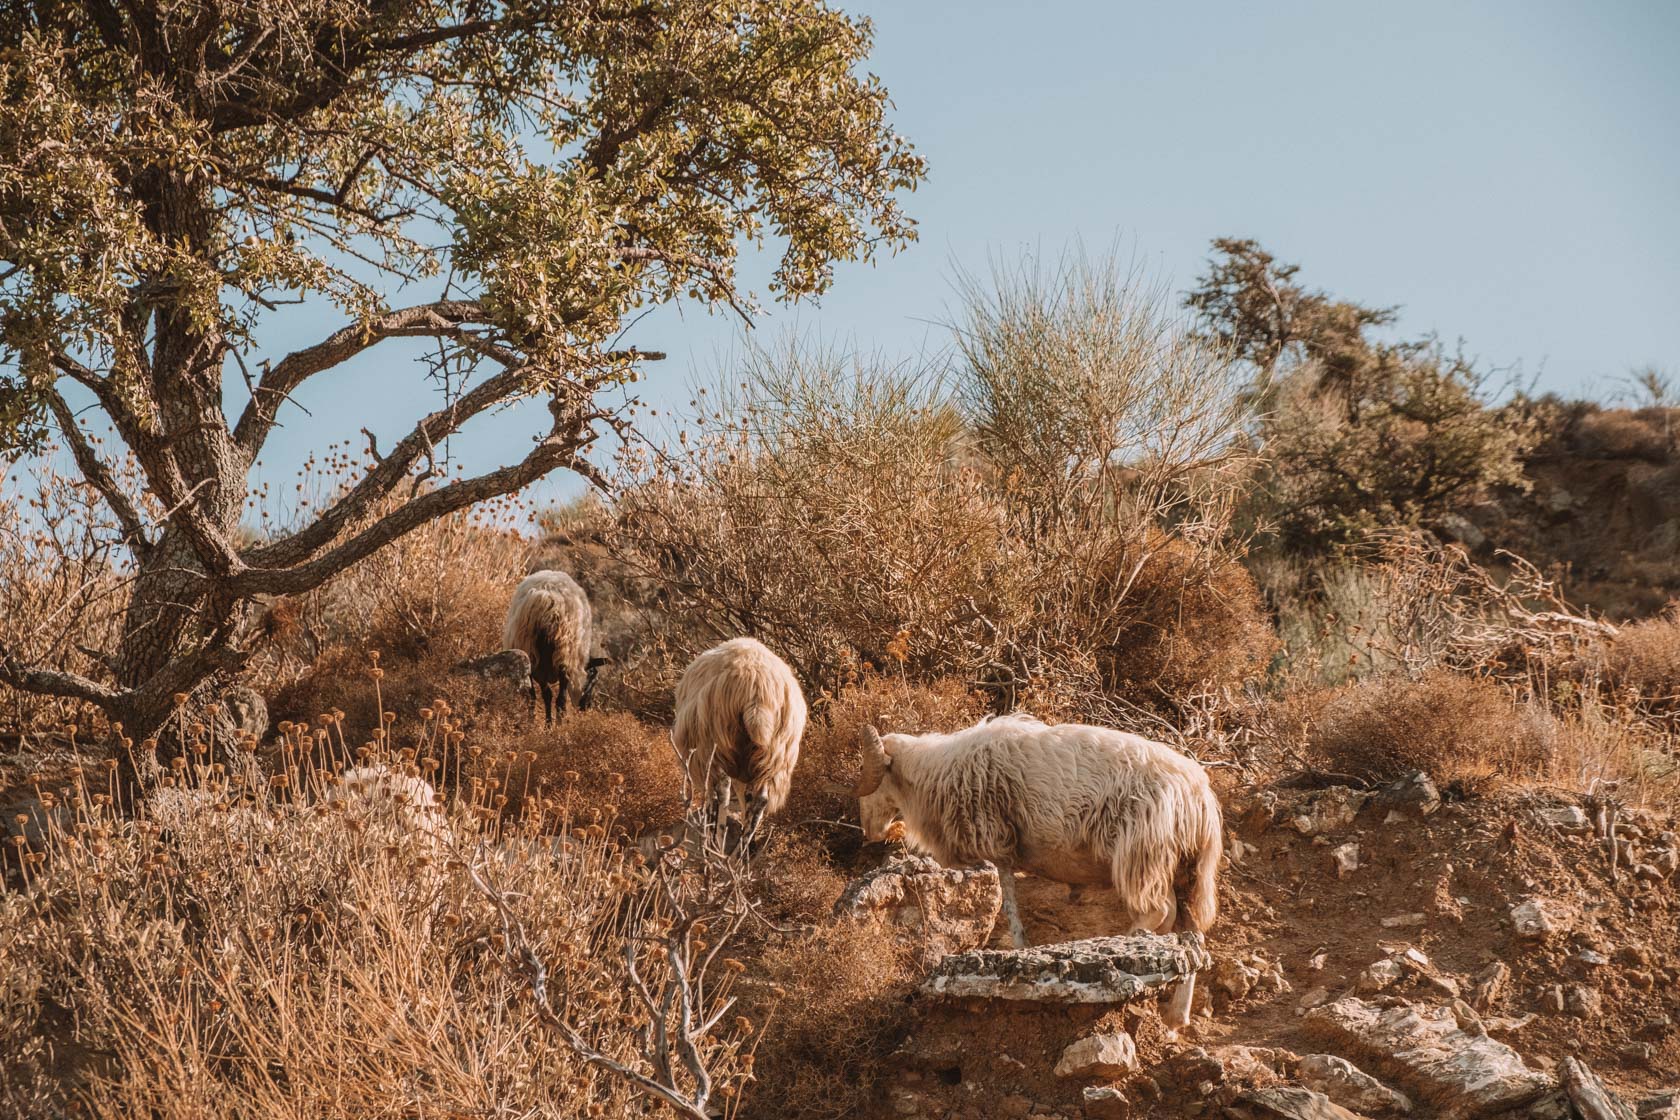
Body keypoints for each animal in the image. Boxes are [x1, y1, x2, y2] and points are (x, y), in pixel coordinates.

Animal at [503, 570, 611, 728]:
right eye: (594, 681)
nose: (586, 707)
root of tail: (547, 597)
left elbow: (544, 695)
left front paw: (547, 725)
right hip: (564, 653)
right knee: (560, 698)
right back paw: (560, 725)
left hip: (530, 652)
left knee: (535, 696)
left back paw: (533, 722)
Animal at [668, 638, 806, 849]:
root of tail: (757, 690)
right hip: (776, 755)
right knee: (759, 802)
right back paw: (742, 852)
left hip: (714, 745)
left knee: (721, 793)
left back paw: (714, 846)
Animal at [860, 718, 1216, 1034]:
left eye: (872, 776)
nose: (869, 831)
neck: (933, 774)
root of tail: (1199, 796)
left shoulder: (997, 844)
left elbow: (1009, 906)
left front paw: (1019, 949)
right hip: (1183, 871)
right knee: (1191, 933)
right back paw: (1176, 1016)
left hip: (1141, 855)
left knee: (1158, 912)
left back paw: (1125, 947)